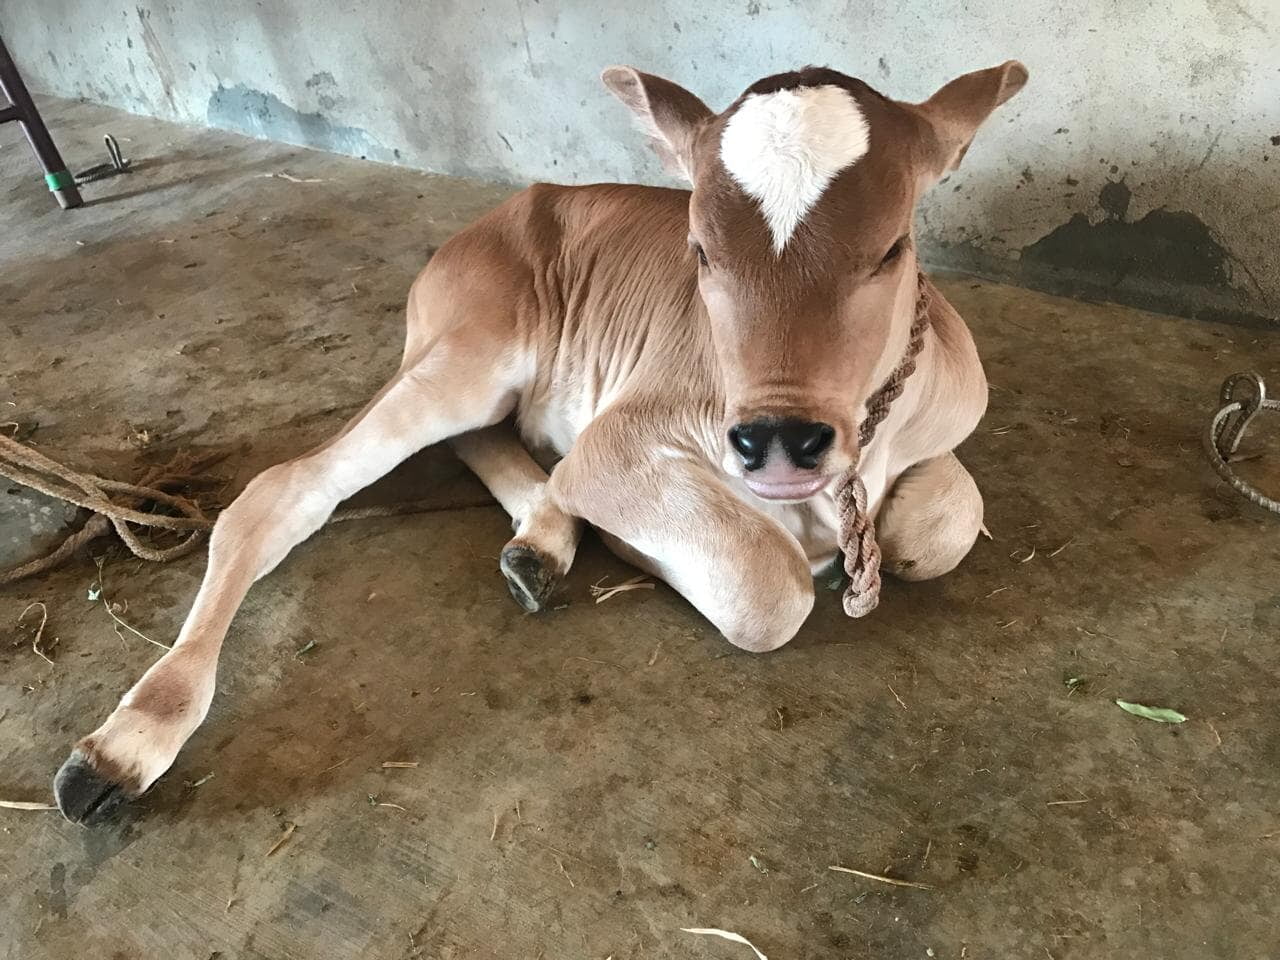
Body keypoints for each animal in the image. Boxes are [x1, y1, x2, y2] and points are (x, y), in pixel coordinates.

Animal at [54, 59, 1028, 823]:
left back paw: (545, 543)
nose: (779, 441)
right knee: (285, 490)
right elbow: (768, 590)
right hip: (472, 349)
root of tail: (499, 217)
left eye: (891, 248)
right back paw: (126, 744)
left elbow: (942, 521)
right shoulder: (617, 445)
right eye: (700, 250)